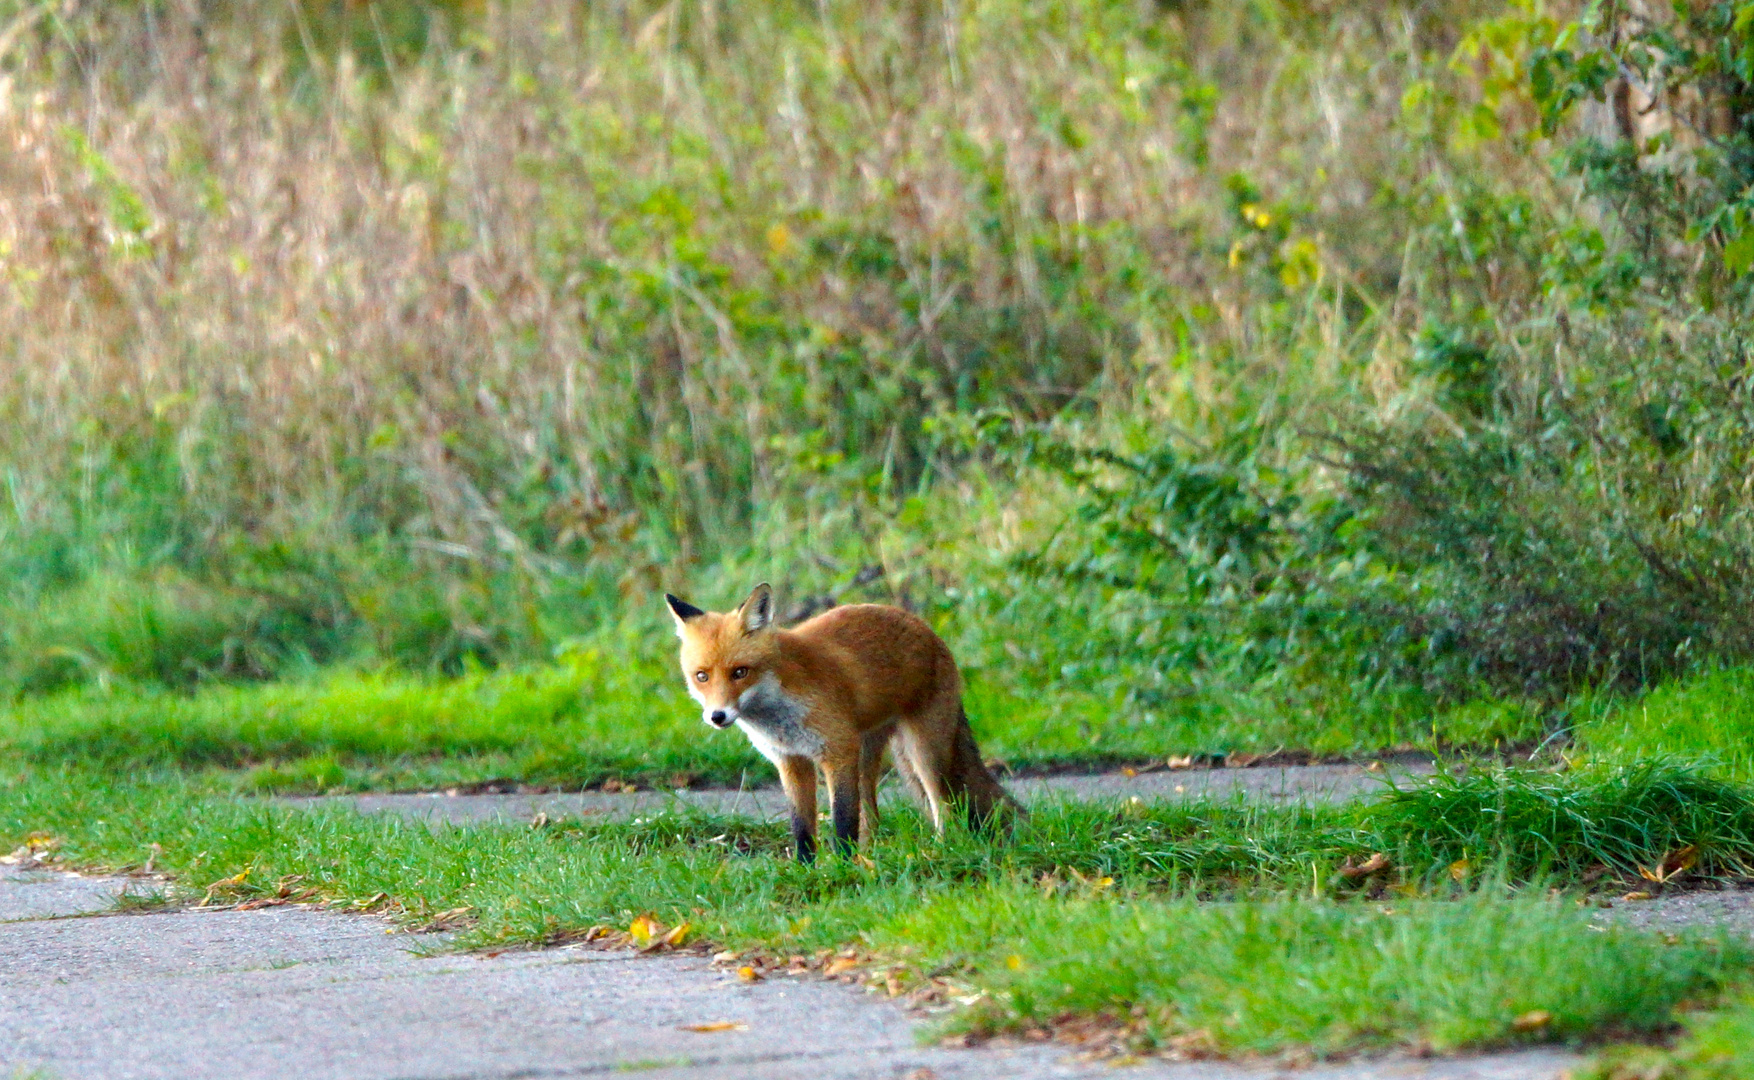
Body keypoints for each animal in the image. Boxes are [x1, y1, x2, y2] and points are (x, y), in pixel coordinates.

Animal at [659, 582, 1024, 859]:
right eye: (701, 676)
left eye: (740, 672)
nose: (717, 716)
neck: (779, 713)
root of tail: (925, 627)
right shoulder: (791, 762)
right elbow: (802, 827)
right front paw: (806, 870)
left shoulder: (837, 752)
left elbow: (842, 821)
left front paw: (843, 867)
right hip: (867, 755)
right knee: (872, 816)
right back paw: (871, 856)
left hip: (924, 754)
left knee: (942, 807)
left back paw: (938, 850)